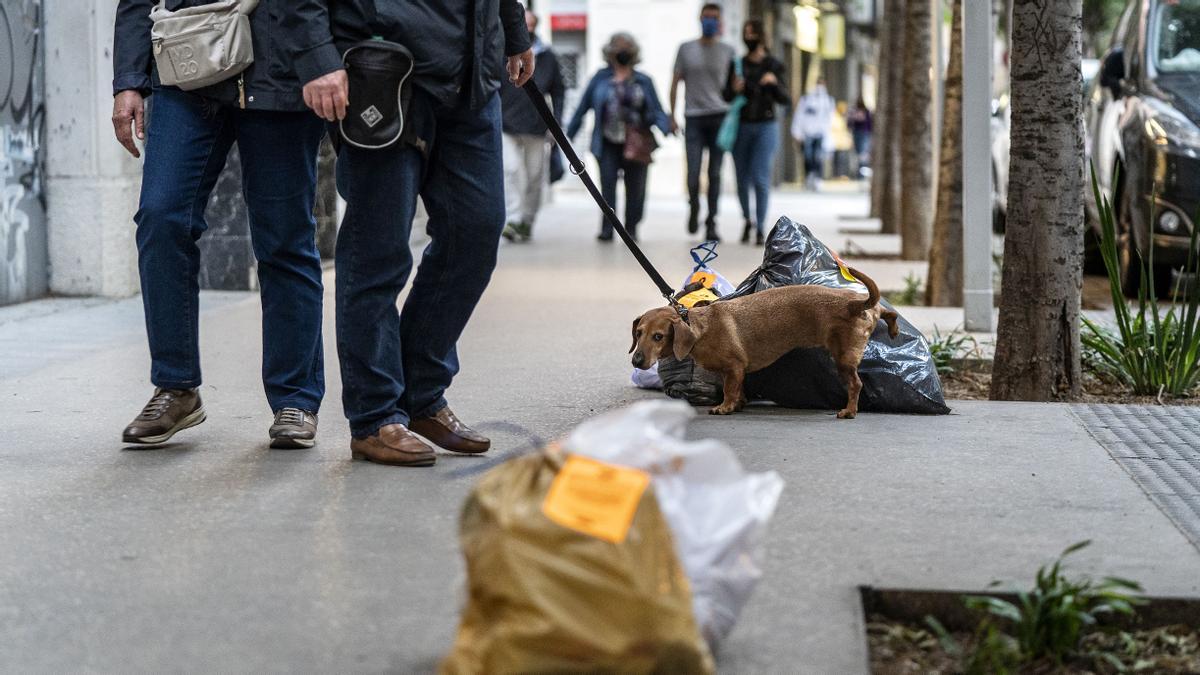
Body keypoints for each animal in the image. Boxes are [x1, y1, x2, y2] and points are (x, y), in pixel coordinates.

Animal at [628, 266, 902, 415]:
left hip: (844, 359)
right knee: (887, 312)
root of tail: (855, 304)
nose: (636, 360)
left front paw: (725, 407)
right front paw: (737, 404)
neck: (700, 328)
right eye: (638, 333)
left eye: (658, 336)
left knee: (856, 385)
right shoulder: (736, 371)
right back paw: (893, 327)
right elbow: (737, 390)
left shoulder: (734, 367)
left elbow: (729, 389)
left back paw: (849, 411)